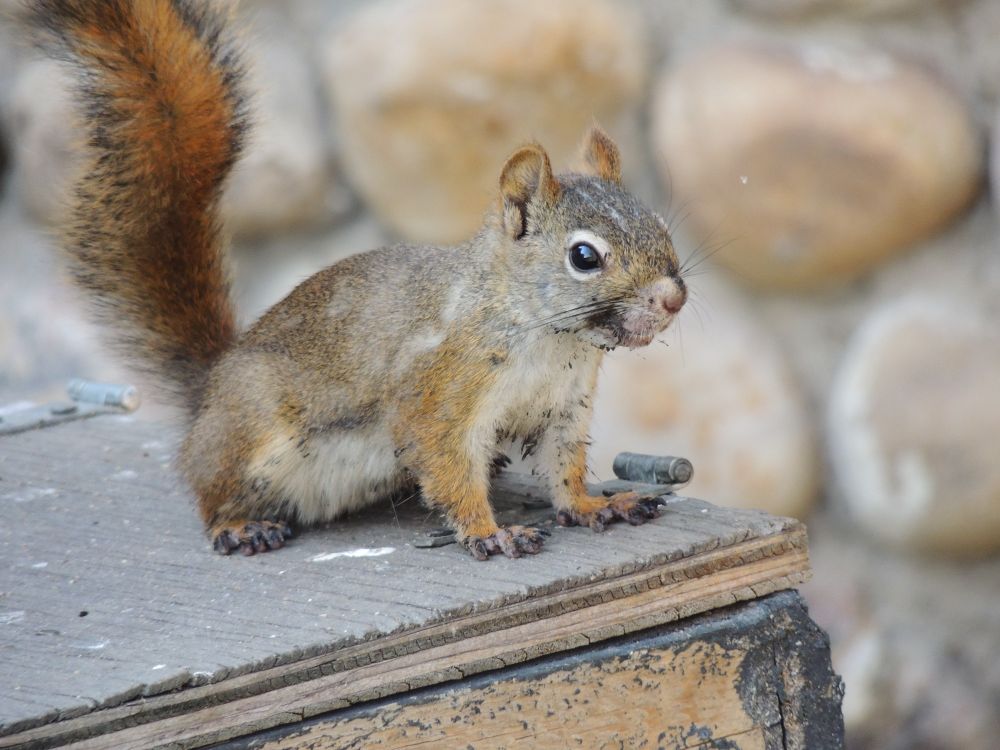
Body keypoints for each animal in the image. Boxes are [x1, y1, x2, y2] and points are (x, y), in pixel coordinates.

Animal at [26, 0, 688, 560]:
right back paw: (239, 525)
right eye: (584, 256)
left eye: (659, 224)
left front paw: (597, 506)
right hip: (252, 430)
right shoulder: (440, 394)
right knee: (209, 486)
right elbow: (450, 468)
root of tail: (209, 394)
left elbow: (563, 470)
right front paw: (489, 532)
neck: (550, 339)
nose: (673, 298)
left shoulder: (564, 408)